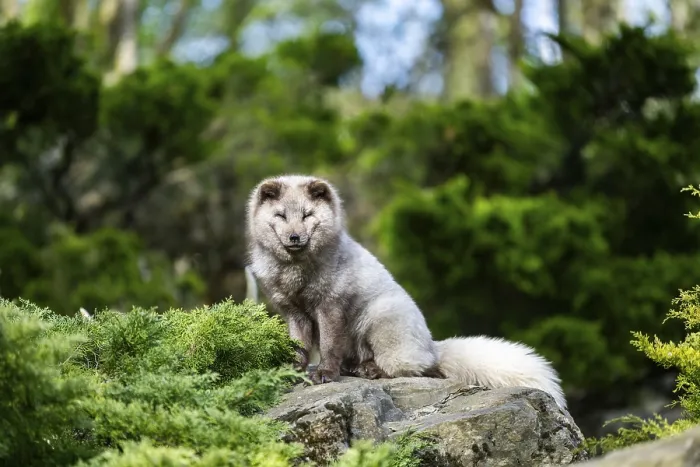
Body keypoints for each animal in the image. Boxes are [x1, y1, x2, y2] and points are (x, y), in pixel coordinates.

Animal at [245, 174, 567, 410]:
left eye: (307, 214)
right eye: (281, 215)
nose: (294, 237)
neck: (296, 274)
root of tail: (433, 345)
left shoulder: (330, 306)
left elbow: (328, 346)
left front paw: (324, 373)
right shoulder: (294, 311)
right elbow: (298, 346)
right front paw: (292, 372)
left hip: (380, 320)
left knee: (421, 369)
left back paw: (370, 371)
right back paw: (357, 368)